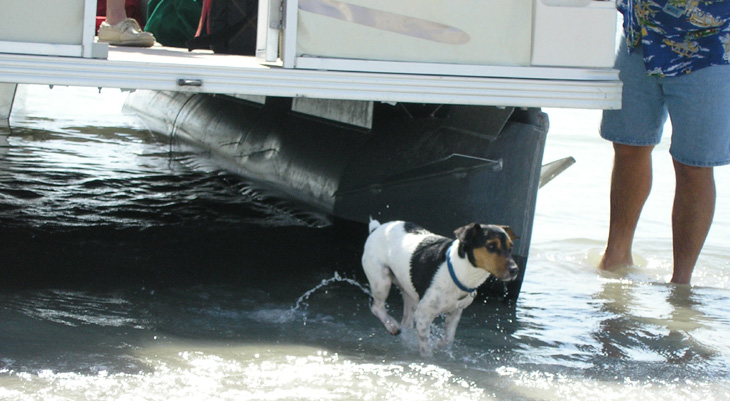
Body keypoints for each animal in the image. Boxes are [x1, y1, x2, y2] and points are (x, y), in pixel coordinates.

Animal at [362, 219, 516, 356]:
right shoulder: (423, 315)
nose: (515, 270)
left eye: (511, 247)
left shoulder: (455, 312)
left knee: (406, 323)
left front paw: (439, 345)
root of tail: (376, 229)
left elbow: (448, 339)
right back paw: (392, 325)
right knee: (377, 307)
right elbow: (426, 349)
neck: (458, 270)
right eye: (491, 246)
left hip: (409, 294)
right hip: (381, 282)